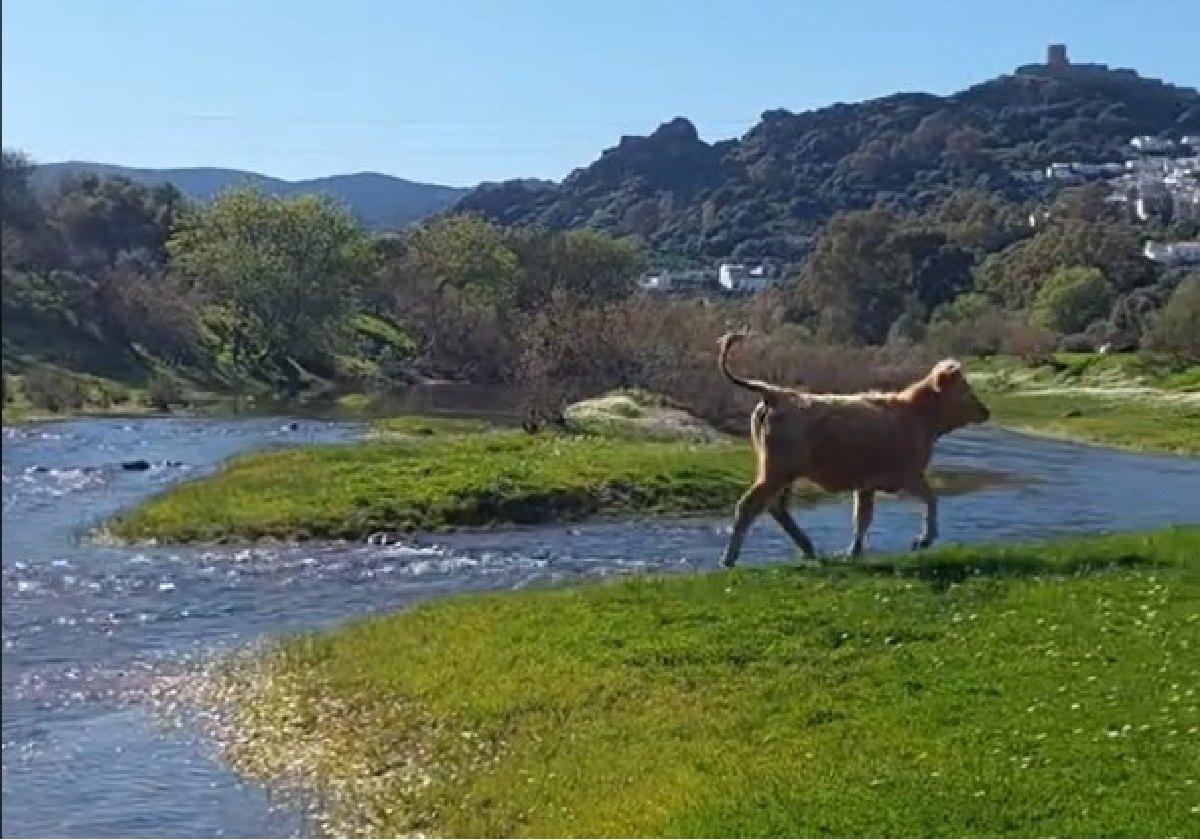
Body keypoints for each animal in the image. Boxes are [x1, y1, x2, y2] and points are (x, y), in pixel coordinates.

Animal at [715, 333, 988, 564]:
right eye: (967, 391)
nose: (986, 411)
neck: (918, 416)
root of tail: (776, 393)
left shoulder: (867, 483)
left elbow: (862, 519)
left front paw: (853, 553)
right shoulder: (907, 475)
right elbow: (931, 499)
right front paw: (923, 540)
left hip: (783, 473)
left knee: (776, 507)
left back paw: (808, 549)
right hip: (776, 471)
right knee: (749, 505)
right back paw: (729, 559)